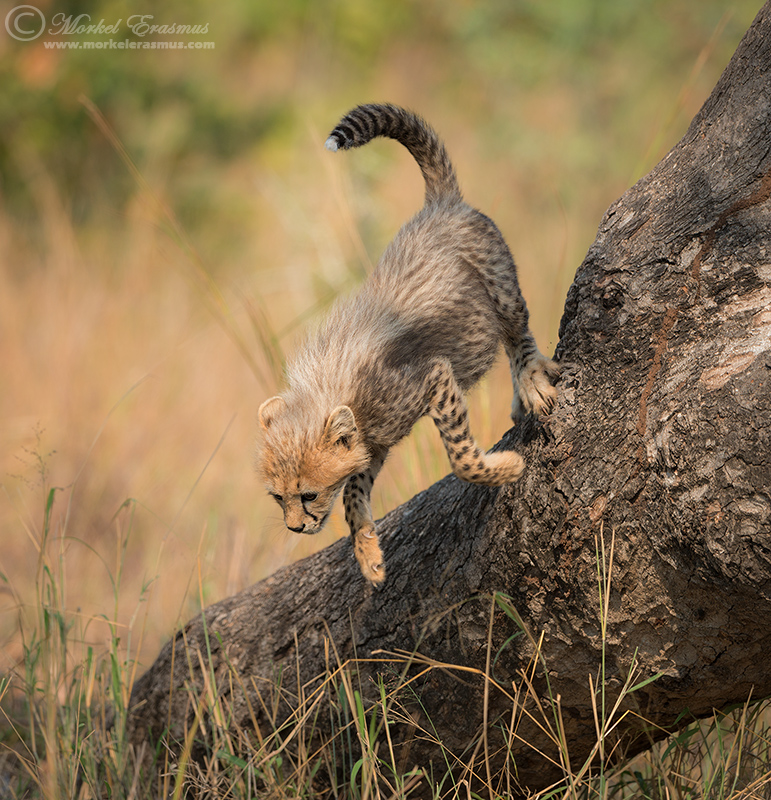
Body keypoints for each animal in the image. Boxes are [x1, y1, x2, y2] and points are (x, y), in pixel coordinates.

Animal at [258, 103, 559, 584]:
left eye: (307, 495)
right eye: (276, 497)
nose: (295, 528)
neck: (334, 391)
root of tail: (439, 204)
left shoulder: (432, 377)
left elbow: (461, 458)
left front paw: (508, 467)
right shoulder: (371, 444)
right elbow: (352, 495)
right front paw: (368, 555)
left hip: (500, 286)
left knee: (518, 334)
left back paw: (529, 383)